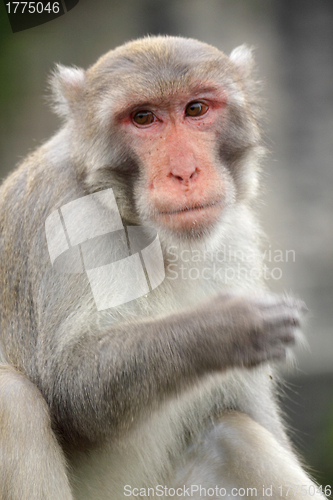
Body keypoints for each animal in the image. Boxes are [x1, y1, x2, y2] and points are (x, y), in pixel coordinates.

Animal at [0, 36, 324, 500]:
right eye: (143, 117)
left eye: (196, 109)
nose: (184, 172)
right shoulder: (61, 212)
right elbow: (70, 385)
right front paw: (223, 329)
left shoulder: (235, 233)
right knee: (13, 401)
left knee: (232, 434)